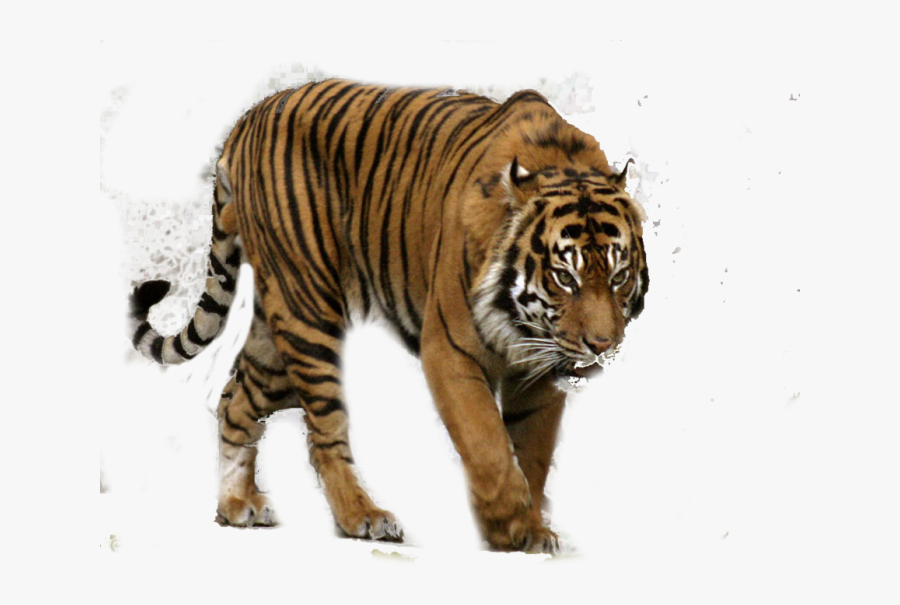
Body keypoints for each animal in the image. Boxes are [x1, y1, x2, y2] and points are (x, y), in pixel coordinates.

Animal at [129, 79, 649, 553]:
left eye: (620, 276)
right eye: (565, 277)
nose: (602, 345)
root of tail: (249, 118)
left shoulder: (538, 368)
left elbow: (532, 452)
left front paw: (531, 528)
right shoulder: (450, 352)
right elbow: (488, 443)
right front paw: (509, 523)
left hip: (273, 342)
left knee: (233, 400)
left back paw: (237, 506)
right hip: (307, 314)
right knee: (323, 433)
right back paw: (362, 516)